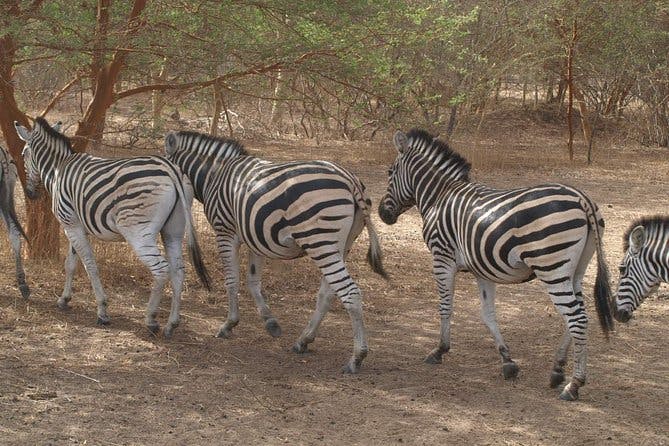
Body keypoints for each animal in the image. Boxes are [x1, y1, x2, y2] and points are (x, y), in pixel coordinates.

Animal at [15, 116, 209, 336]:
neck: (58, 168)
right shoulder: (75, 224)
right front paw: (64, 299)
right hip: (173, 230)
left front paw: (102, 310)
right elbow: (70, 264)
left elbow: (89, 265)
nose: (31, 193)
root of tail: (171, 169)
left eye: (23, 154)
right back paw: (172, 324)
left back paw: (151, 319)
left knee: (161, 269)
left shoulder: (70, 224)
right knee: (178, 271)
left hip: (138, 232)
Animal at [164, 131, 388, 374]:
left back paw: (356, 357)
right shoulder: (255, 237)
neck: (213, 175)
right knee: (328, 293)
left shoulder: (225, 231)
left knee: (350, 292)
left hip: (320, 241)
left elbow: (232, 280)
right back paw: (304, 340)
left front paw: (228, 324)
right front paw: (270, 323)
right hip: (342, 244)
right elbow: (253, 282)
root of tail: (350, 180)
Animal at [378, 129, 612, 400]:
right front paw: (507, 361)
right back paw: (557, 370)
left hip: (551, 267)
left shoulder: (441, 256)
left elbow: (445, 306)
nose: (382, 214)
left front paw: (440, 350)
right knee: (577, 315)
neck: (439, 196)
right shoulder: (483, 269)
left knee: (577, 318)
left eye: (390, 172)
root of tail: (581, 198)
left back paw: (574, 384)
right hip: (575, 270)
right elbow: (488, 314)